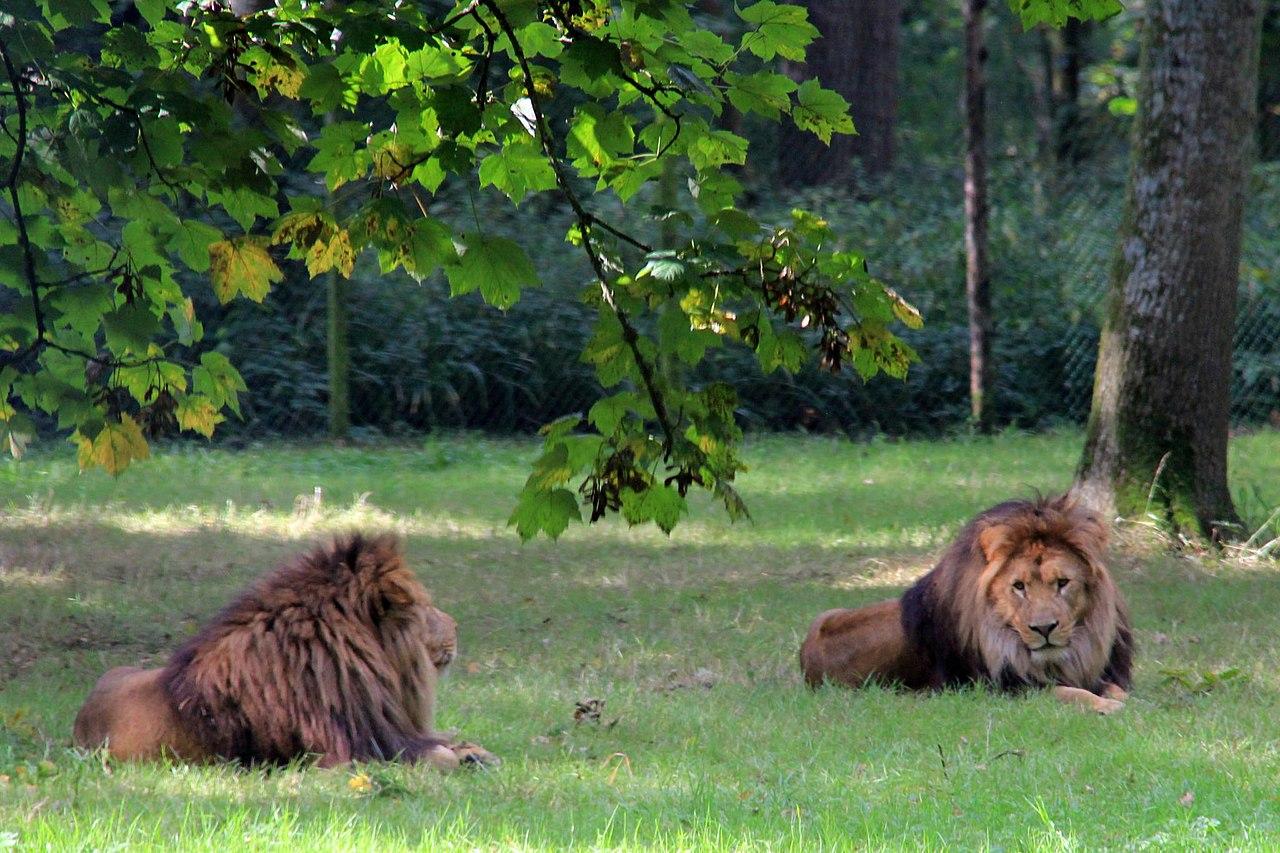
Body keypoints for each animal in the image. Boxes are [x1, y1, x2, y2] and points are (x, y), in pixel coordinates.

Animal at [68, 532, 499, 763]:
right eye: (425, 608)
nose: (457, 626)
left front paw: (478, 753)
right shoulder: (348, 752)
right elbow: (438, 756)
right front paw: (465, 758)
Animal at [793, 491, 1136, 712]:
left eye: (1062, 583)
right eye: (1019, 587)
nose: (1044, 628)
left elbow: (1116, 690)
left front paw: (1125, 701)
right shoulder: (1000, 688)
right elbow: (1067, 693)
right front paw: (1108, 706)